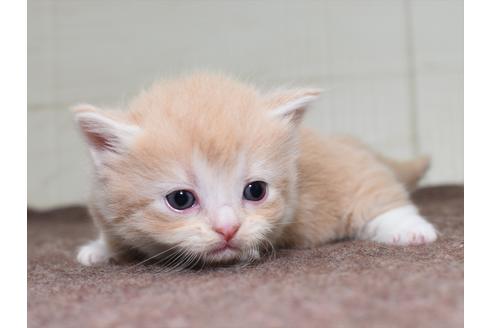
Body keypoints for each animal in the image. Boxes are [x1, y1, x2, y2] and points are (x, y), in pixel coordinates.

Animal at [72, 72, 434, 266]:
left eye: (255, 190)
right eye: (180, 200)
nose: (228, 228)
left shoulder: (335, 167)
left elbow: (373, 190)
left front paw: (410, 229)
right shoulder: (102, 203)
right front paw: (101, 249)